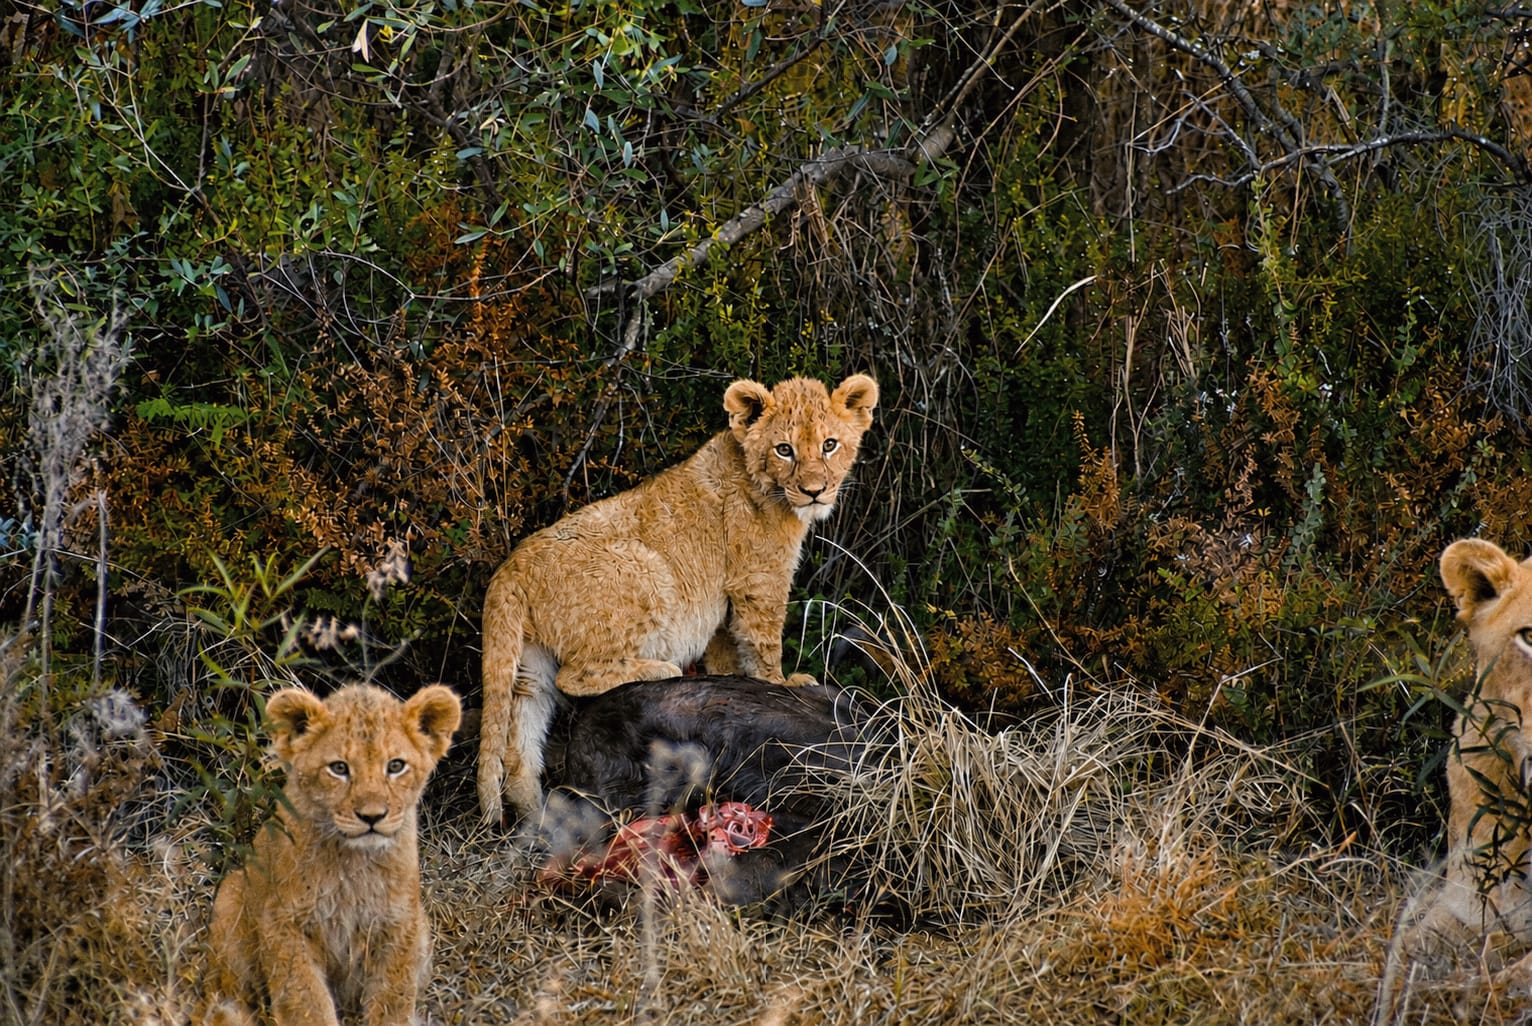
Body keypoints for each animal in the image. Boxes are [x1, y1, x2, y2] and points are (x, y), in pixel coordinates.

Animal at [206, 682, 462, 1026]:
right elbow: (306, 1001)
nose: (372, 816)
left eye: (395, 766)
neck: (355, 863)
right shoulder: (284, 923)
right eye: (339, 768)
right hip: (230, 898)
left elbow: (392, 1001)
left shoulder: (399, 923)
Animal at [477, 373, 879, 824]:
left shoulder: (723, 601)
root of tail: (510, 571)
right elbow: (763, 644)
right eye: (784, 449)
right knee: (575, 677)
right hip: (648, 569)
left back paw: (536, 815)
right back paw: (659, 668)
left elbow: (726, 654)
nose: (815, 491)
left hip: (530, 660)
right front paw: (781, 682)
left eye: (829, 444)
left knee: (521, 739)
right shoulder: (758, 580)